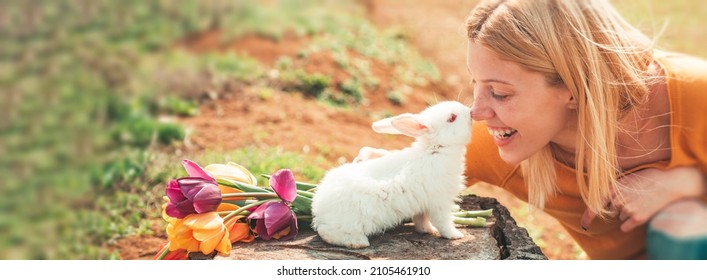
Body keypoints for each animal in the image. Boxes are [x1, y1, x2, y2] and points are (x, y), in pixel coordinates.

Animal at [312, 101, 472, 249]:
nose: (470, 111)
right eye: (452, 118)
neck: (436, 149)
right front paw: (455, 235)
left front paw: (427, 231)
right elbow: (443, 222)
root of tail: (319, 206)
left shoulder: (422, 205)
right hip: (350, 221)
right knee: (328, 232)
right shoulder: (440, 202)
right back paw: (358, 242)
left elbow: (421, 220)